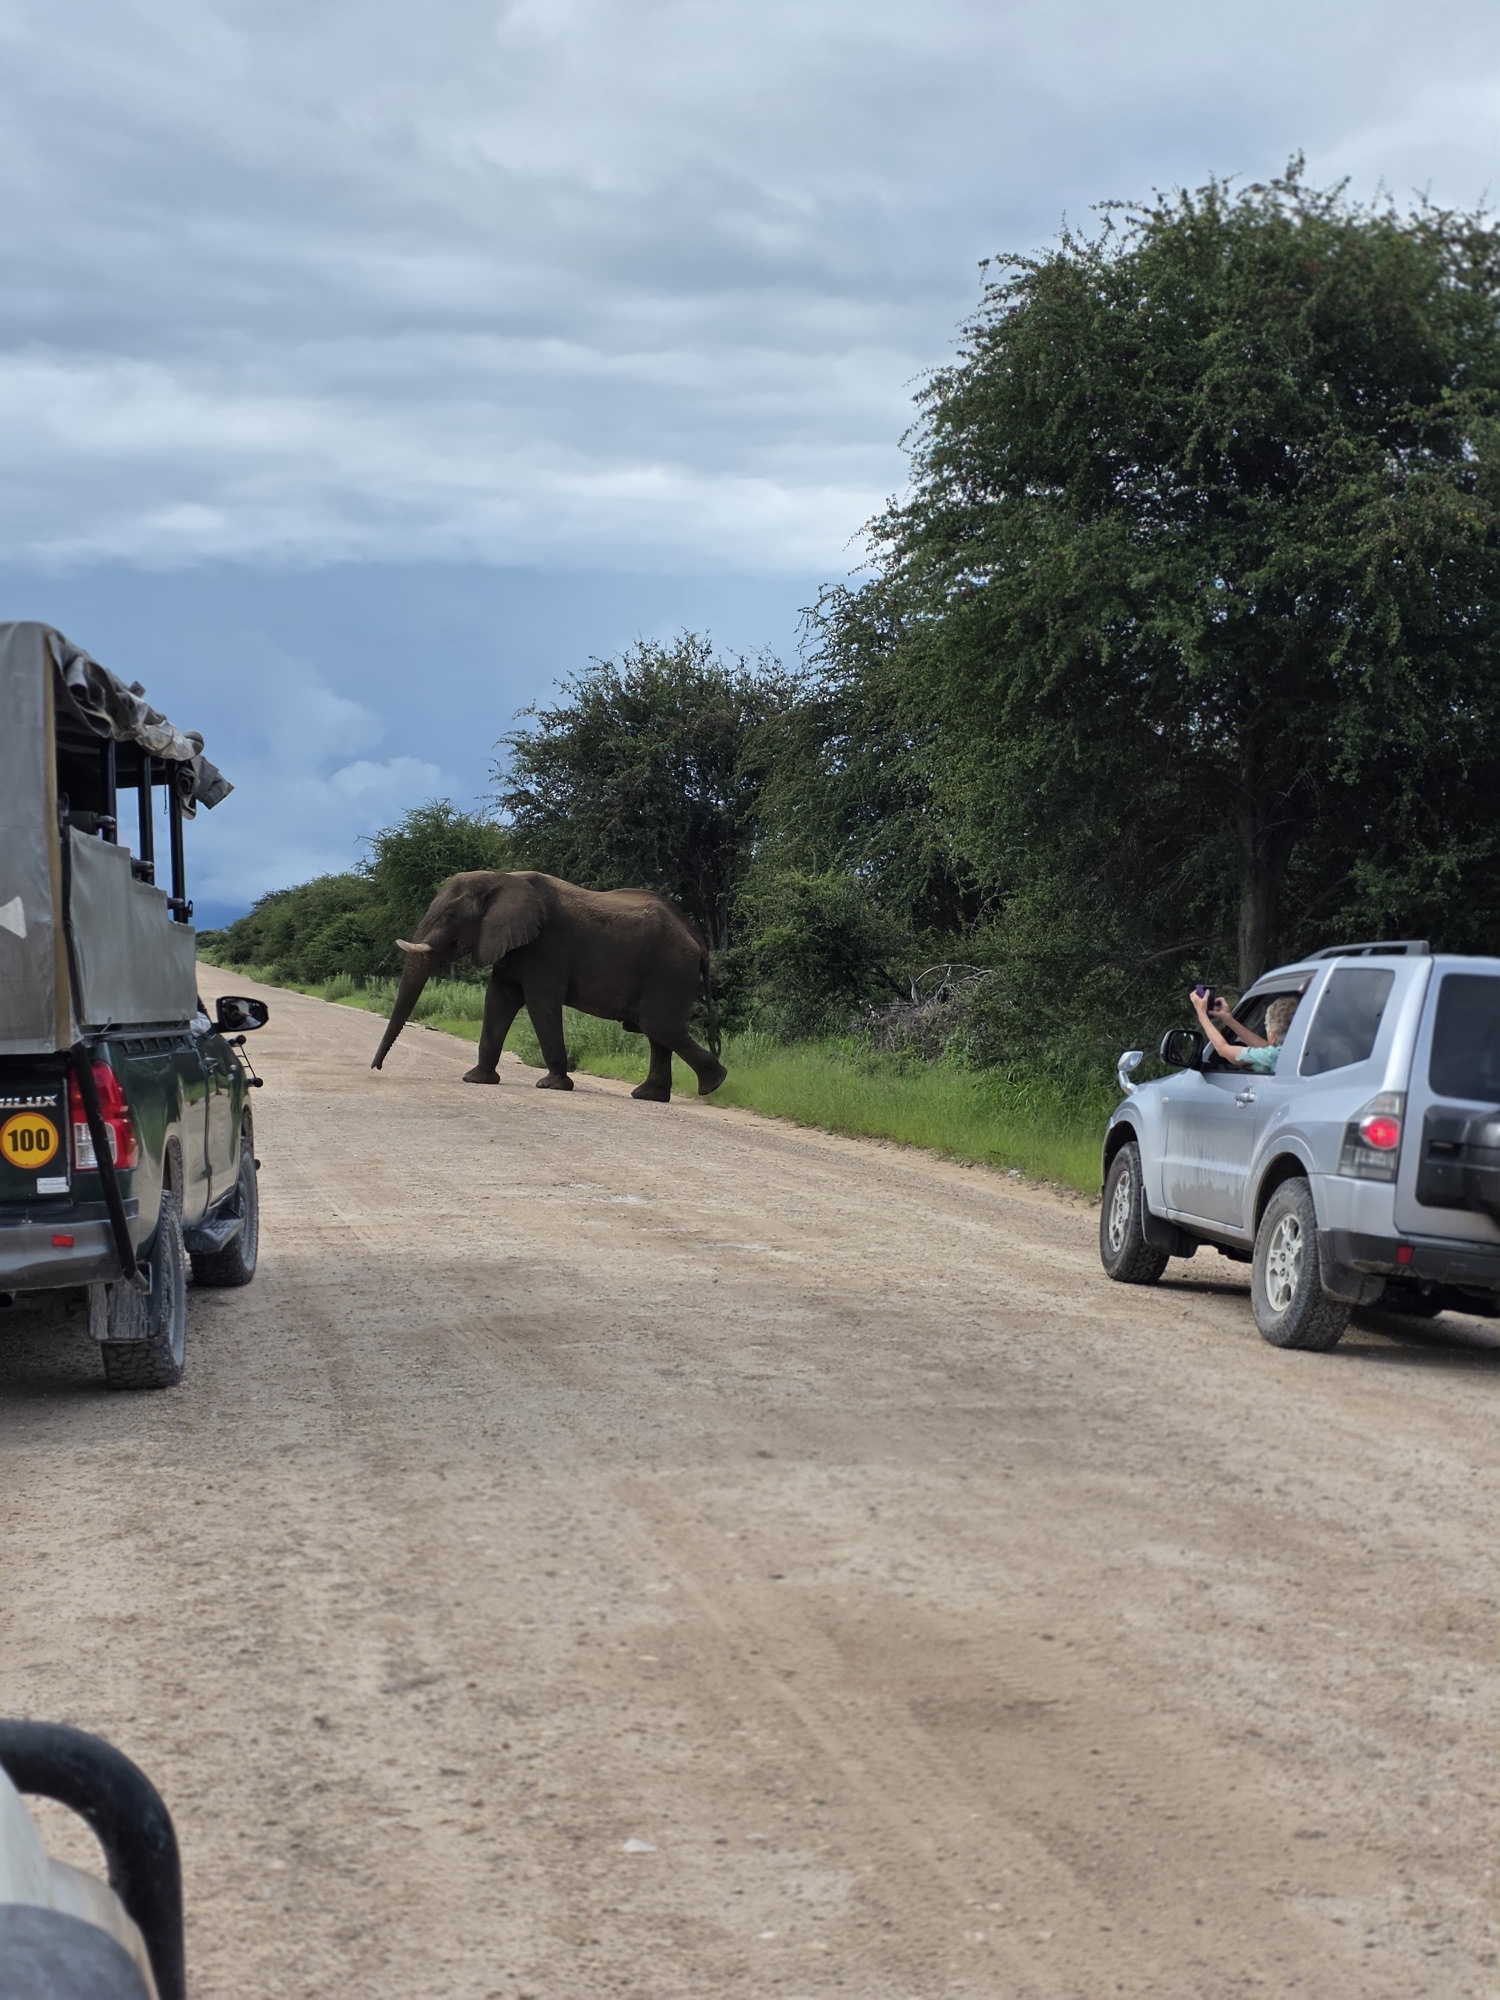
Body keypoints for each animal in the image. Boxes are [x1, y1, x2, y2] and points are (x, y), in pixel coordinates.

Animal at [370, 869, 728, 1102]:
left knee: (658, 1026)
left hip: (669, 970)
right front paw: (476, 1080)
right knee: (657, 1033)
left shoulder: (546, 947)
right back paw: (650, 1095)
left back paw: (713, 1084)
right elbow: (497, 1000)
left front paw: (551, 1085)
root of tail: (699, 944)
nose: (376, 1068)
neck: (500, 879)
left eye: (450, 914)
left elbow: (541, 1002)